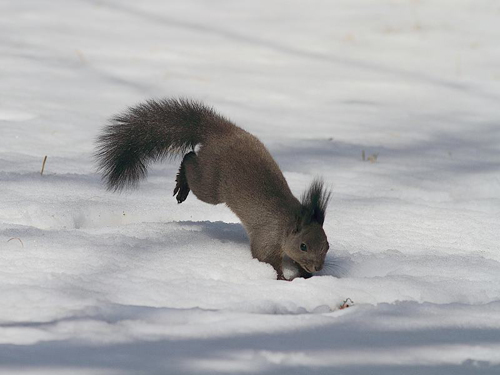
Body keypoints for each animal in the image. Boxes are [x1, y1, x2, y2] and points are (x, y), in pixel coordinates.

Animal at [95, 98, 330, 280]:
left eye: (327, 245)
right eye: (303, 246)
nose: (318, 267)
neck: (288, 221)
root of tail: (221, 131)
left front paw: (306, 276)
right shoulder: (267, 236)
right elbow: (265, 259)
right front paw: (283, 279)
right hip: (210, 183)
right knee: (190, 159)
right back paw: (182, 182)